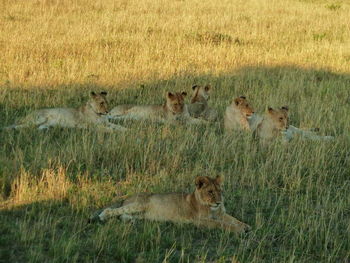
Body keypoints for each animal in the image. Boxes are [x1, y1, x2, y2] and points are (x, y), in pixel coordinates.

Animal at [89, 176, 250, 234]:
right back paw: (102, 216)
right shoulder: (200, 221)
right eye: (210, 192)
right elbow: (222, 224)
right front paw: (239, 230)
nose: (219, 202)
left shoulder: (222, 214)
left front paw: (246, 226)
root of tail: (127, 197)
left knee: (123, 214)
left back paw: (132, 221)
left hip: (139, 212)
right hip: (139, 204)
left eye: (220, 191)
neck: (212, 209)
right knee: (112, 210)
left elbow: (233, 219)